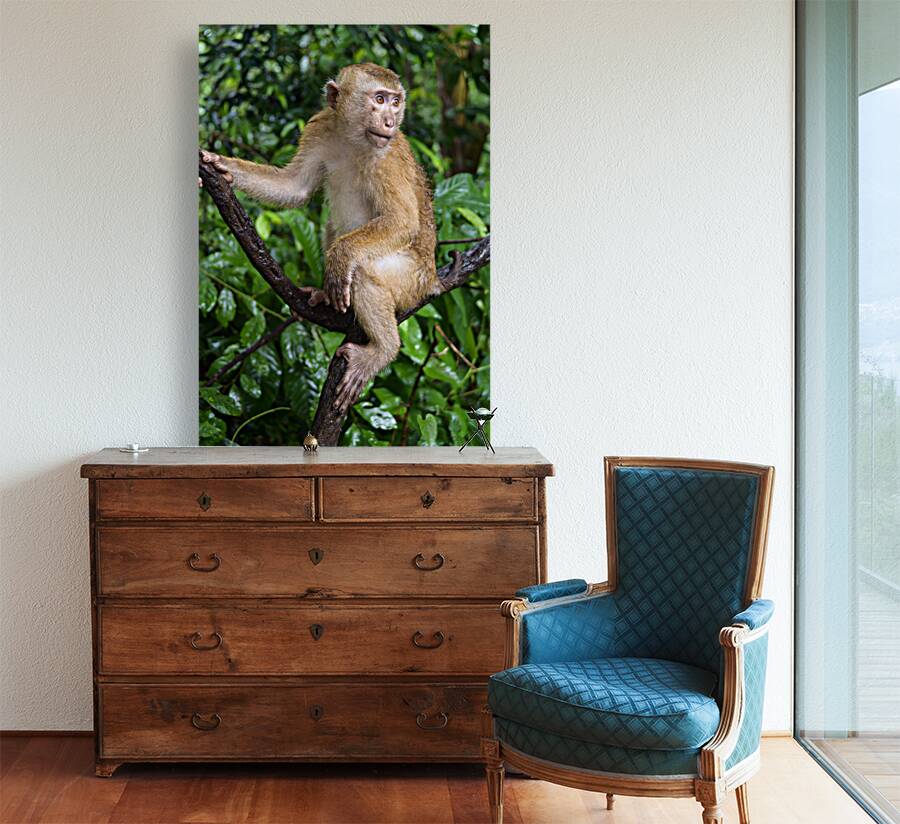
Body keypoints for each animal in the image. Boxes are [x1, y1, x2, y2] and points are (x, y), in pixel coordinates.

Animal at [200, 63, 440, 412]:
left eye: (396, 102)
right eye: (380, 99)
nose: (390, 121)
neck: (355, 138)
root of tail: (432, 279)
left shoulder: (388, 156)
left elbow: (402, 221)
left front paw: (340, 259)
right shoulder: (321, 126)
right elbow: (295, 187)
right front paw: (222, 166)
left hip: (412, 280)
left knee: (364, 270)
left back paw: (383, 349)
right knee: (331, 227)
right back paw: (326, 296)